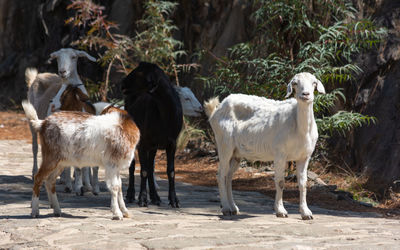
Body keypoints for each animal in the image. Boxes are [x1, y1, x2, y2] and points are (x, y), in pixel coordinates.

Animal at [121, 62, 184, 207]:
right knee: (133, 166)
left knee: (150, 168)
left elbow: (170, 171)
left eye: (140, 73)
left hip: (154, 146)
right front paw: (142, 198)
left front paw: (174, 200)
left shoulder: (172, 143)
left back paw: (155, 197)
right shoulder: (143, 143)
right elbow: (143, 171)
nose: (123, 83)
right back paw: (131, 195)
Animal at [203, 72, 324, 219]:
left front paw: (306, 213)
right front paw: (280, 211)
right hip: (224, 144)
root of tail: (216, 110)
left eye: (314, 83)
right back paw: (226, 208)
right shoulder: (280, 154)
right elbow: (280, 182)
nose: (305, 94)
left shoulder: (304, 157)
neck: (299, 126)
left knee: (228, 176)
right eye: (295, 83)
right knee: (221, 175)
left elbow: (303, 183)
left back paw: (233, 208)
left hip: (236, 153)